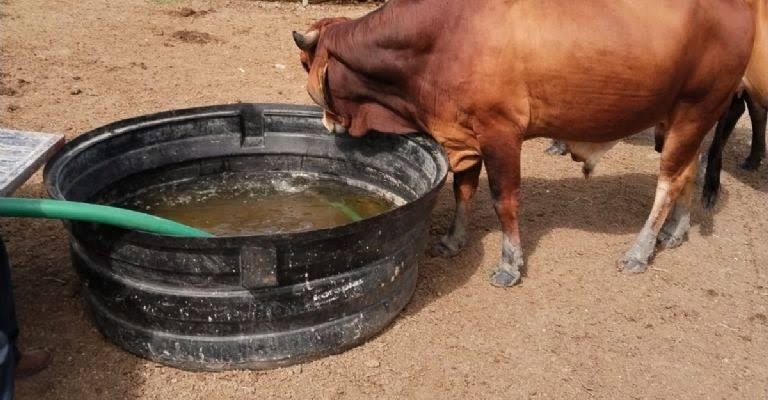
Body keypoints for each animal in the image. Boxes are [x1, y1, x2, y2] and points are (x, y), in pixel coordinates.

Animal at [296, 0, 756, 288]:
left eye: (307, 67)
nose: (327, 125)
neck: (440, 37)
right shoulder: (463, 132)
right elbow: (464, 190)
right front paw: (453, 240)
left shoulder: (500, 132)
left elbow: (504, 201)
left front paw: (509, 264)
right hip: (684, 118)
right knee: (688, 171)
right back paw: (676, 231)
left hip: (696, 108)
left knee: (669, 181)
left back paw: (640, 251)